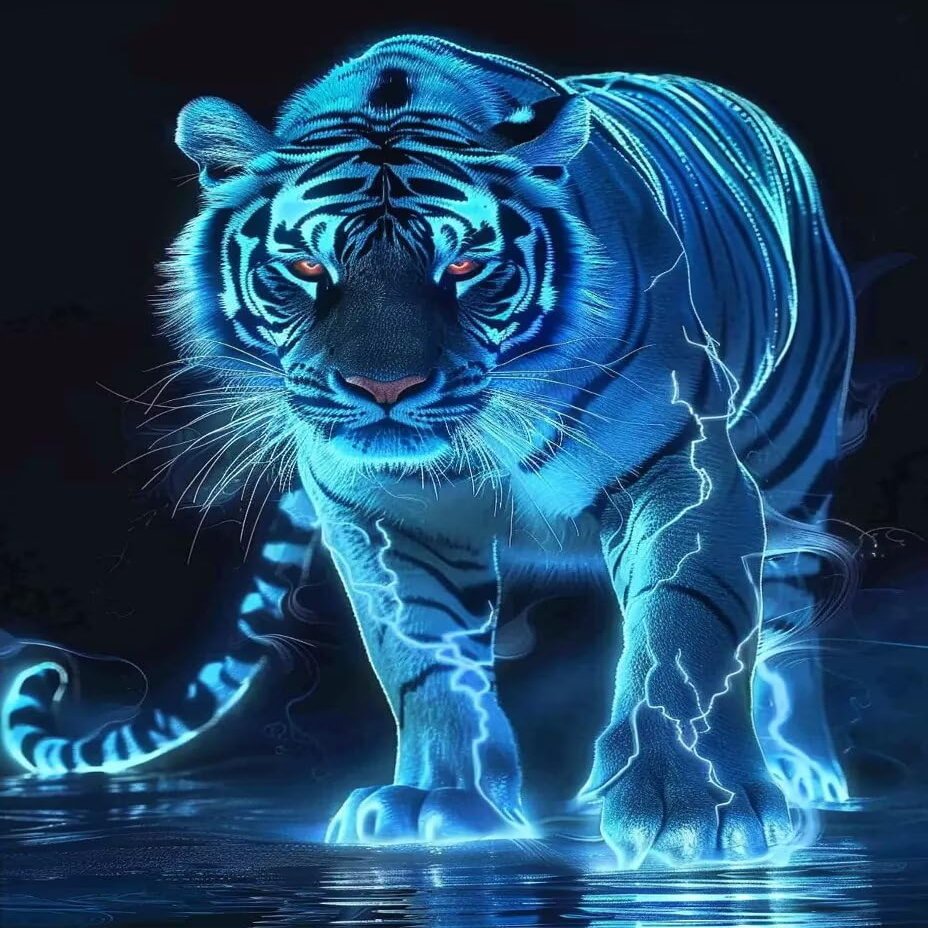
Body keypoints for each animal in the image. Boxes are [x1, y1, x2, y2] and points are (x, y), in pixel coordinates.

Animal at [2, 34, 855, 867]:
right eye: (308, 266)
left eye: (466, 265)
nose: (385, 386)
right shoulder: (381, 516)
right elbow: (423, 658)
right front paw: (445, 800)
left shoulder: (686, 474)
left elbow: (683, 633)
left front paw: (695, 805)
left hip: (792, 462)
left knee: (787, 618)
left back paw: (805, 773)